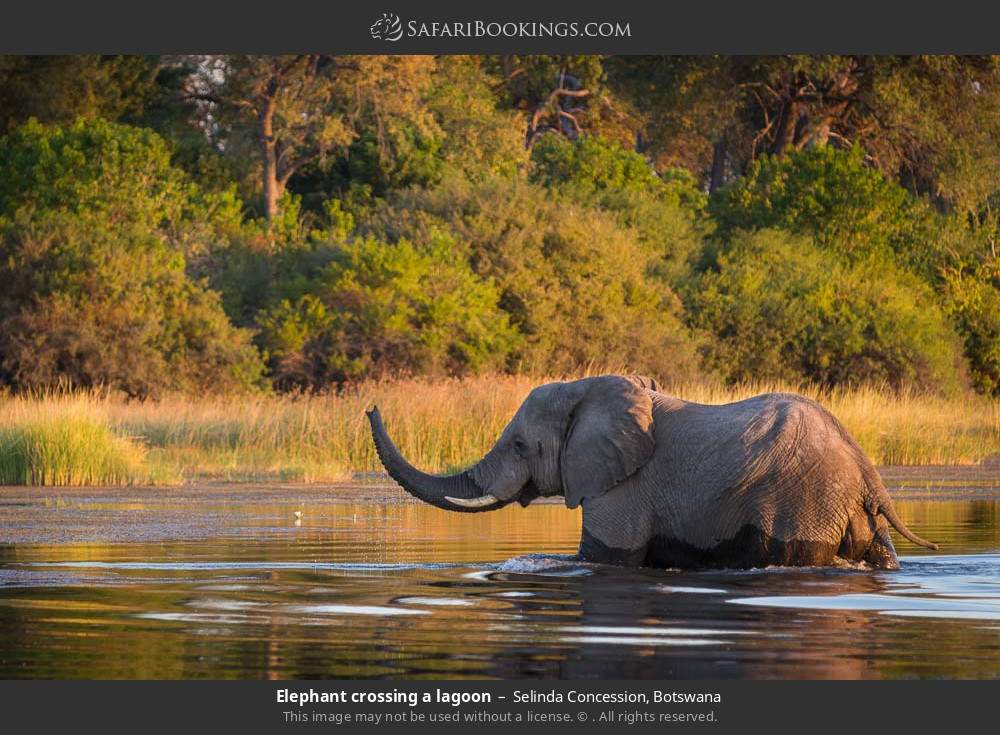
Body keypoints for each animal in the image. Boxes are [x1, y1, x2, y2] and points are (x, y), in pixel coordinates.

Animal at [368, 376, 936, 572]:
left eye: (521, 446)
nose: (371, 405)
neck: (588, 388)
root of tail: (866, 470)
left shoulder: (622, 489)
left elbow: (606, 558)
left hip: (805, 499)